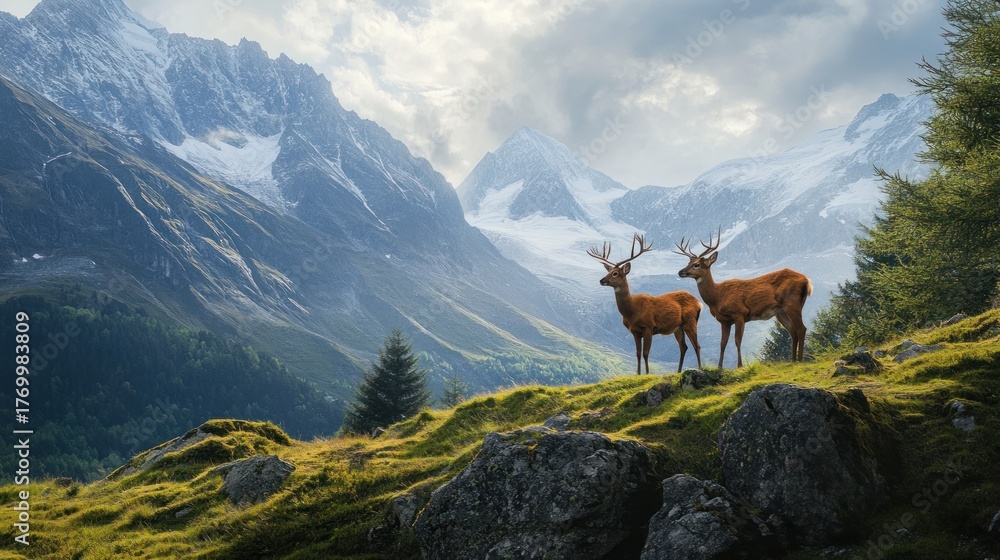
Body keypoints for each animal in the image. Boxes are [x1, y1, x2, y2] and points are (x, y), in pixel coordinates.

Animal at [588, 233, 702, 375]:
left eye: (615, 273)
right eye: (607, 271)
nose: (602, 280)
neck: (632, 311)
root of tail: (699, 303)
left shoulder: (649, 326)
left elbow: (646, 353)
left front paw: (647, 374)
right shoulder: (635, 331)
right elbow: (637, 353)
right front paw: (638, 374)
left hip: (690, 320)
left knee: (696, 345)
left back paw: (700, 368)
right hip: (678, 327)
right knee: (683, 347)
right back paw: (679, 371)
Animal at [674, 228, 812, 369]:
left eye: (696, 264)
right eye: (688, 263)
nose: (681, 272)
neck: (717, 297)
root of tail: (807, 280)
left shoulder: (739, 313)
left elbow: (737, 340)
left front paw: (740, 365)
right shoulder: (724, 321)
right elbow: (722, 343)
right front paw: (719, 367)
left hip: (792, 303)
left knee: (801, 329)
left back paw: (800, 360)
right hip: (780, 311)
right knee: (792, 331)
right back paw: (792, 360)